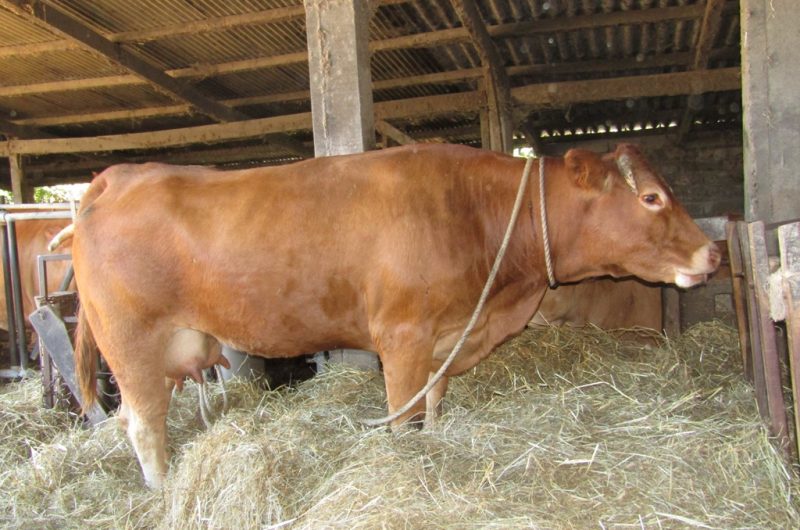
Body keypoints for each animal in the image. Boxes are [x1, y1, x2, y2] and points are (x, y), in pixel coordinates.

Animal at [67, 143, 720, 488]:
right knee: (143, 425)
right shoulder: (403, 337)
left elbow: (433, 402)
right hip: (130, 343)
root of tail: (119, 175)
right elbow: (404, 414)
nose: (713, 252)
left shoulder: (444, 337)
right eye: (651, 197)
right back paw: (163, 487)